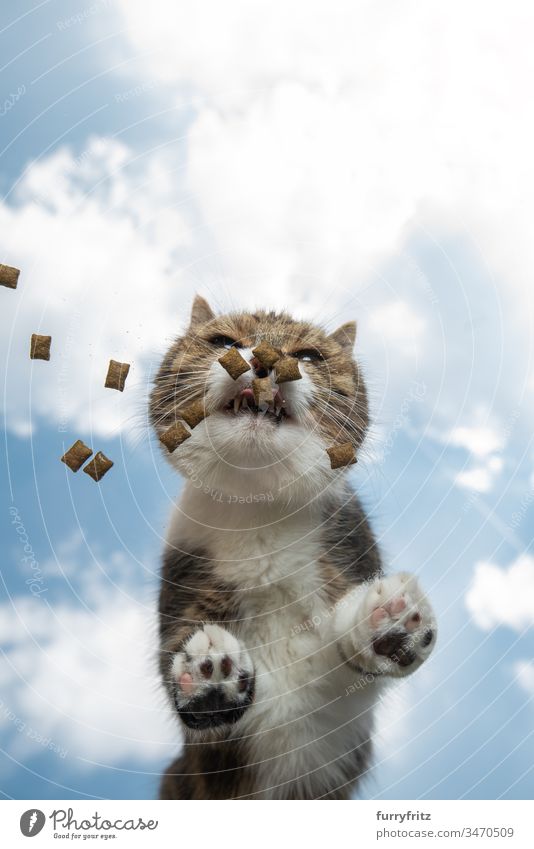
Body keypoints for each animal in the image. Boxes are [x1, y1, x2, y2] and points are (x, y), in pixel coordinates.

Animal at [150, 294, 436, 800]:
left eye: (308, 355)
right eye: (224, 342)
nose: (264, 360)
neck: (259, 515)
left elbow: (345, 673)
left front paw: (391, 622)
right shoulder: (183, 570)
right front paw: (208, 673)